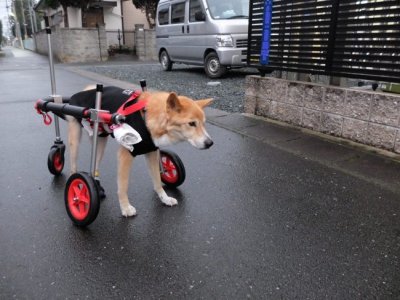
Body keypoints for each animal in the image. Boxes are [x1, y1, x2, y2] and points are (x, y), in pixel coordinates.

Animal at [67, 85, 214, 217]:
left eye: (203, 123)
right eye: (192, 123)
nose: (210, 143)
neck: (147, 116)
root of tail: (87, 90)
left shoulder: (152, 152)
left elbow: (157, 181)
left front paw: (164, 198)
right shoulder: (125, 155)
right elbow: (123, 186)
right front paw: (125, 207)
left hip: (100, 142)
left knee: (95, 166)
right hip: (76, 141)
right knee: (73, 168)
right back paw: (77, 189)